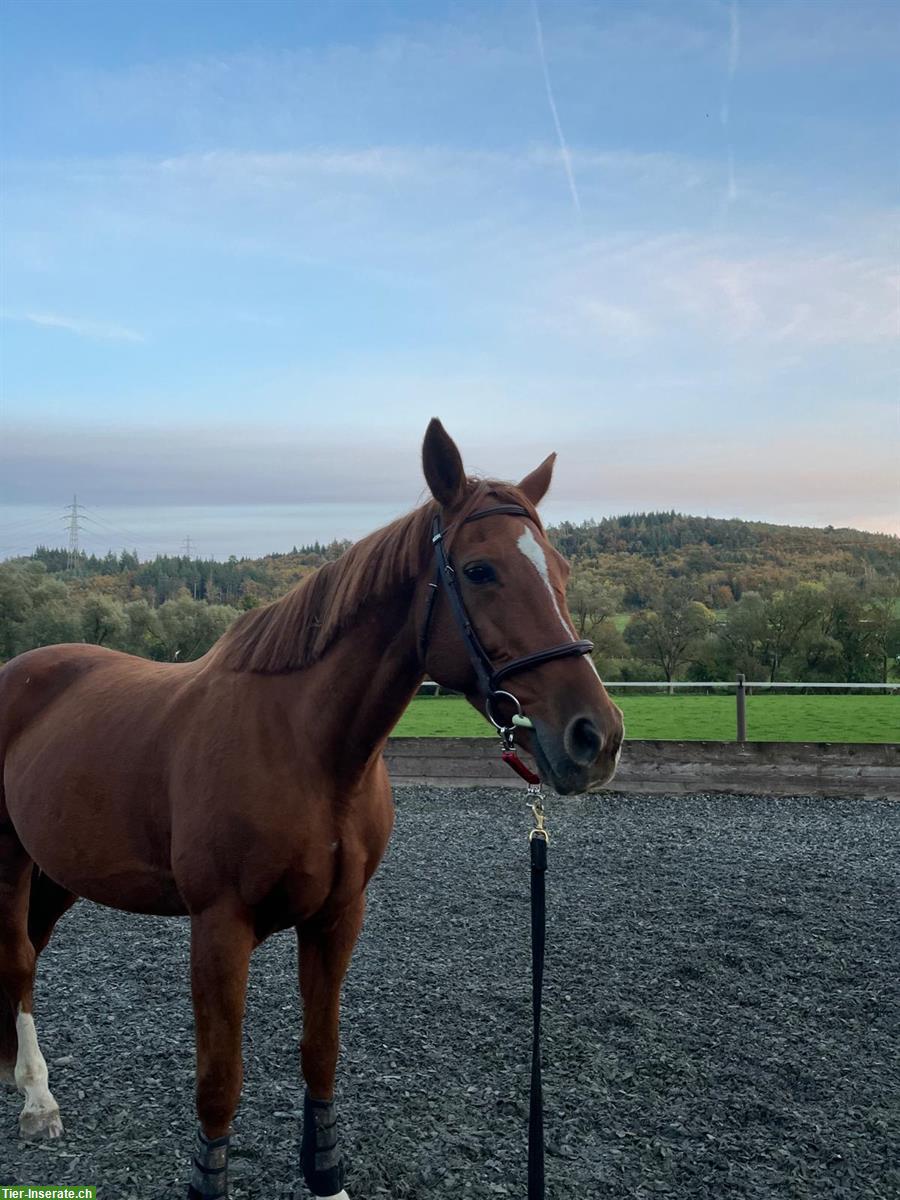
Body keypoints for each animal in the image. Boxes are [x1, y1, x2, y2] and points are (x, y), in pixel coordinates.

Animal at [0, 420, 624, 1190]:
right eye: (481, 571)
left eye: (561, 570)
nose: (597, 737)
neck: (306, 748)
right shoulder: (220, 927)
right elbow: (219, 1081)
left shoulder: (337, 917)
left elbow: (321, 1054)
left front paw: (326, 1176)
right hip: (10, 859)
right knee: (19, 960)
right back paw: (36, 1099)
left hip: (58, 871)